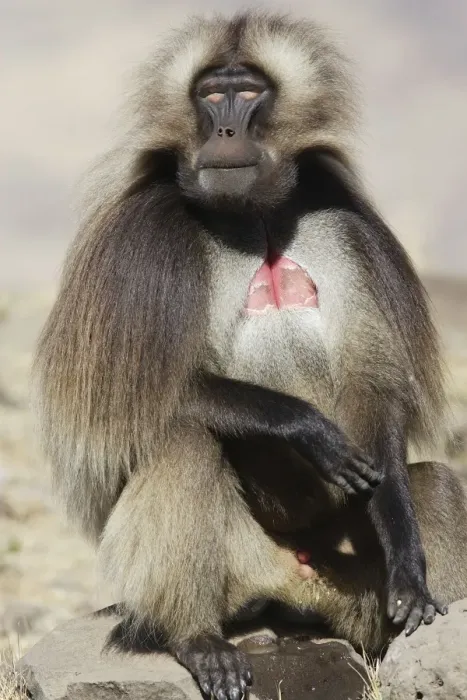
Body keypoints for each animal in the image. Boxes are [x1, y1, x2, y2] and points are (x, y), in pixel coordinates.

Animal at [32, 11, 467, 700]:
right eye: (211, 95)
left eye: (249, 92)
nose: (226, 130)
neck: (254, 216)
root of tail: (292, 579)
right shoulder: (143, 244)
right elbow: (135, 399)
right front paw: (308, 428)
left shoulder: (342, 227)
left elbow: (373, 388)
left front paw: (407, 565)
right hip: (236, 566)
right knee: (183, 441)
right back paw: (199, 641)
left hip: (344, 577)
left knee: (437, 483)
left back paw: (407, 639)